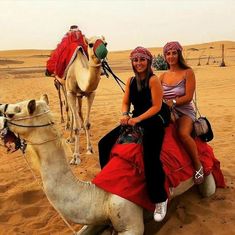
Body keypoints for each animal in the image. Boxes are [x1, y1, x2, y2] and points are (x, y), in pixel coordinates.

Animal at [0, 94, 223, 234]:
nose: (1, 109)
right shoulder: (98, 217)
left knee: (207, 189)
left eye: (14, 112)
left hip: (206, 171)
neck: (101, 195)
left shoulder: (131, 223)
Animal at [65, 36, 107, 165]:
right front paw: (75, 156)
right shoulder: (71, 93)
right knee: (71, 113)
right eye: (90, 44)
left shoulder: (91, 93)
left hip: (79, 96)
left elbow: (88, 123)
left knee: (78, 112)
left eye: (106, 43)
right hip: (64, 89)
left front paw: (90, 148)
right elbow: (76, 127)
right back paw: (70, 138)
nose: (103, 51)